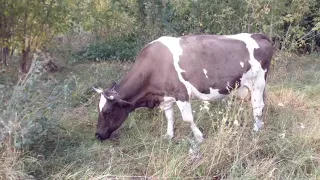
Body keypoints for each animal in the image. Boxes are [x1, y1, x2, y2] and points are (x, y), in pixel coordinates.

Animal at [92, 33, 272, 143]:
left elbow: (187, 119)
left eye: (107, 112)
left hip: (258, 83)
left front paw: (199, 137)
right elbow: (170, 117)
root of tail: (258, 35)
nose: (97, 135)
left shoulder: (181, 93)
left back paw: (256, 132)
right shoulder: (166, 97)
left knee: (258, 108)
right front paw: (169, 135)